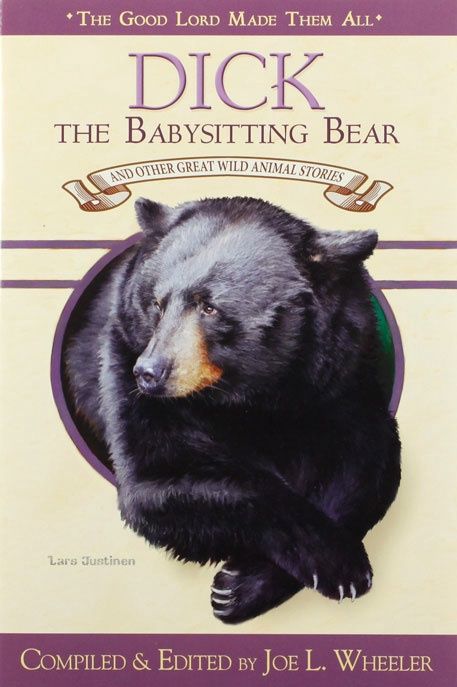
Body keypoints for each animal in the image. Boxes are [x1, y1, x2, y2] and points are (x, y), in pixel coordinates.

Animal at [64, 196, 401, 624]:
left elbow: (366, 467)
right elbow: (166, 478)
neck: (251, 399)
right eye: (156, 303)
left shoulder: (341, 379)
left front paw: (244, 587)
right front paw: (338, 563)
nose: (148, 372)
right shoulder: (125, 370)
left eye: (209, 308)